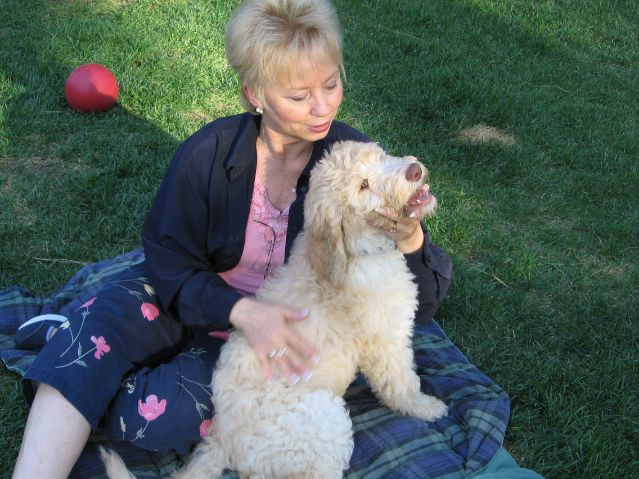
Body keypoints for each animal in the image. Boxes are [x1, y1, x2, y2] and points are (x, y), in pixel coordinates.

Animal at [102, 142, 448, 479]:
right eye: (363, 186)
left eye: (380, 156)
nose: (414, 171)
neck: (354, 251)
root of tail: (222, 438)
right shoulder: (384, 343)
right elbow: (401, 384)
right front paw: (427, 407)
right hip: (321, 419)